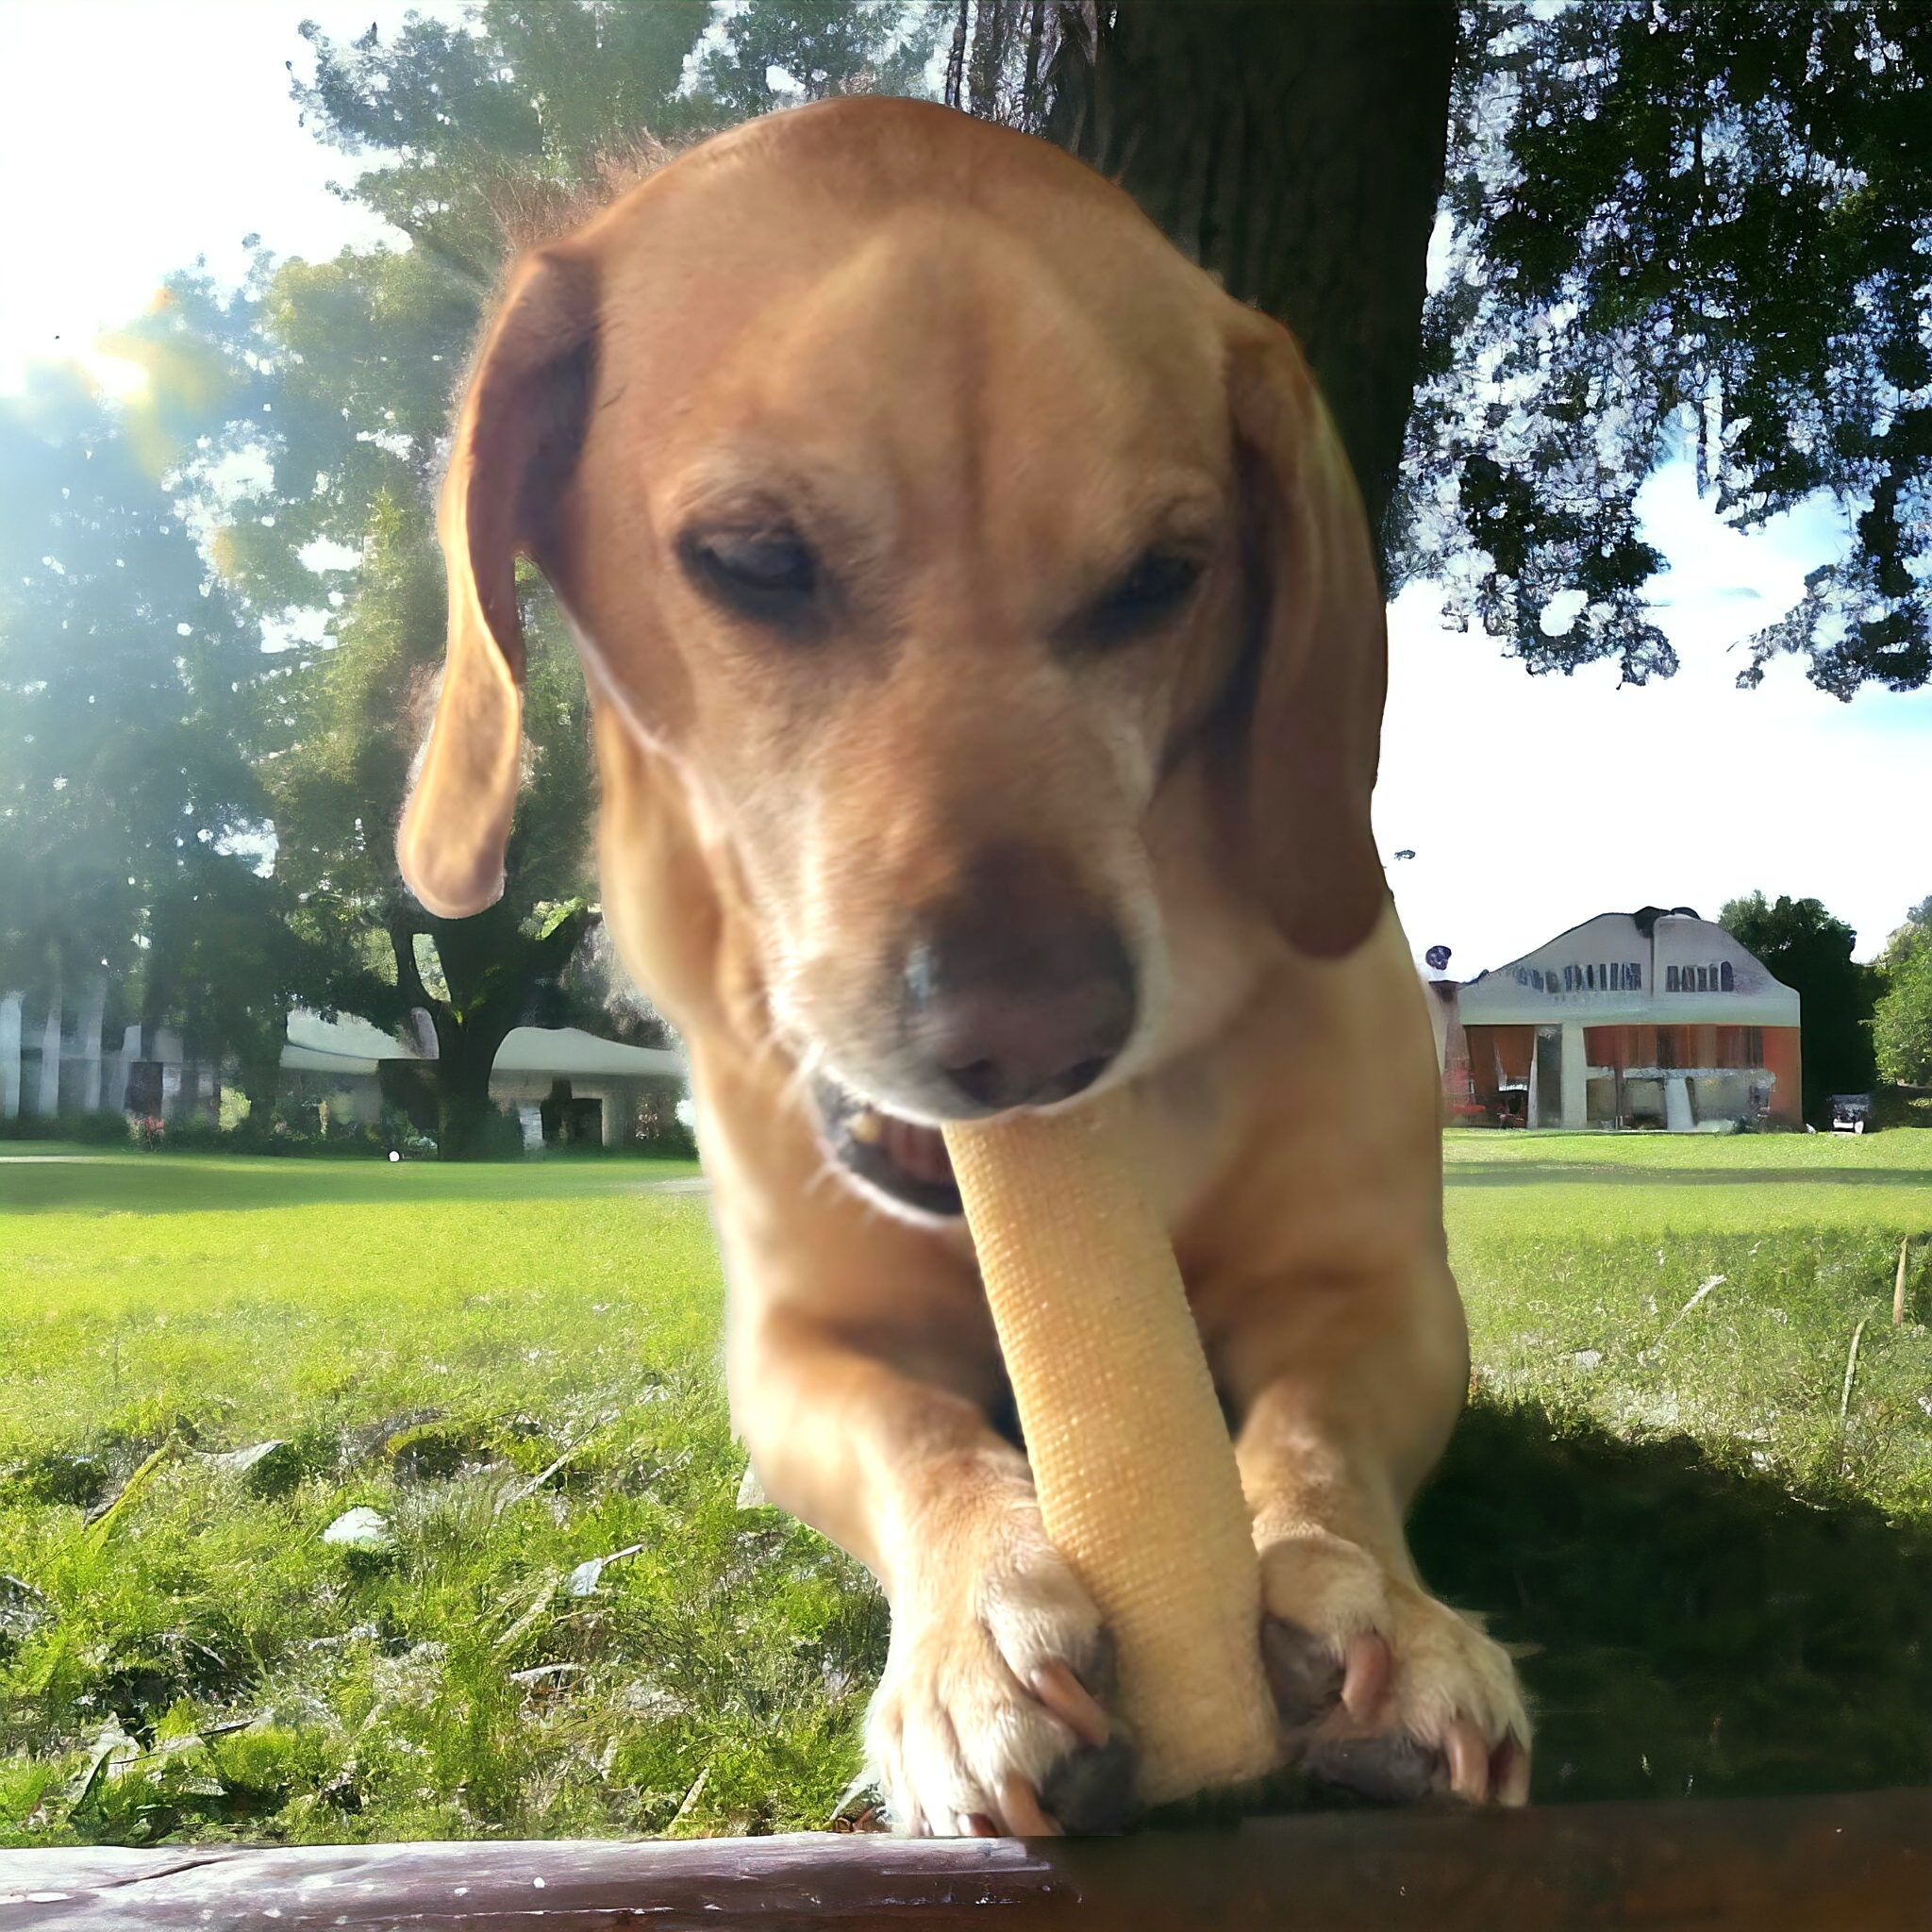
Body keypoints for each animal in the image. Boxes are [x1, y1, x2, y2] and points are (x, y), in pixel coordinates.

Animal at [399, 93, 1530, 1839]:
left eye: (1165, 575)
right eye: (752, 558)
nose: (1036, 1041)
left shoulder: (1382, 1287)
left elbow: (1314, 1433)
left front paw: (1376, 1611)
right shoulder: (806, 1344)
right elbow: (917, 1435)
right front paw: (975, 1632)